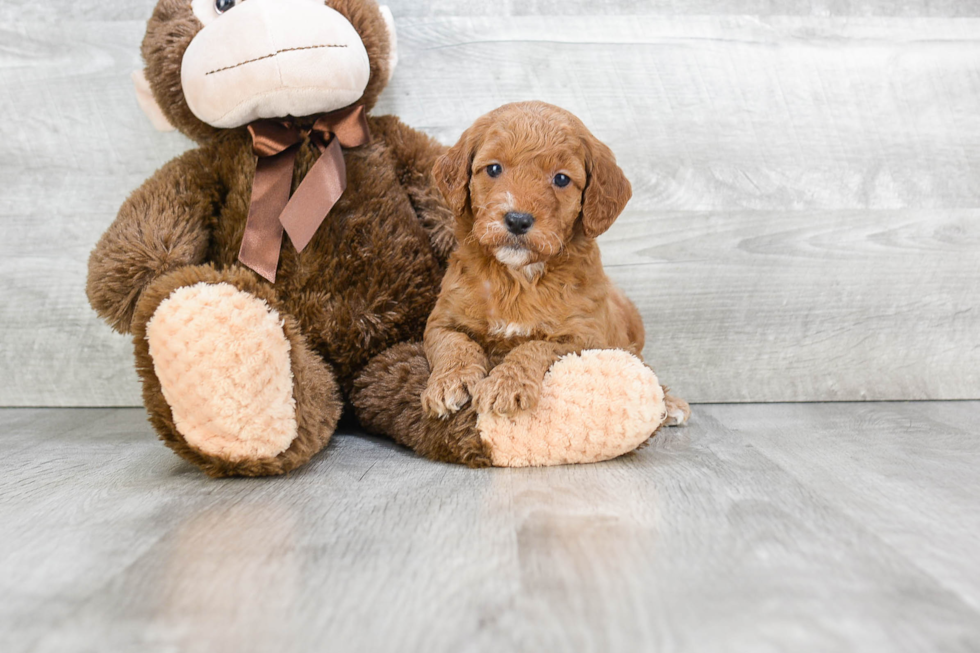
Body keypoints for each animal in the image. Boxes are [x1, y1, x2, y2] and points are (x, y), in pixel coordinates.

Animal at [422, 100, 688, 422]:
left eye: (561, 178)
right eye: (494, 168)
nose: (518, 220)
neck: (517, 278)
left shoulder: (586, 339)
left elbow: (535, 346)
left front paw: (505, 385)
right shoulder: (440, 320)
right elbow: (455, 343)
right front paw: (449, 382)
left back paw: (670, 403)